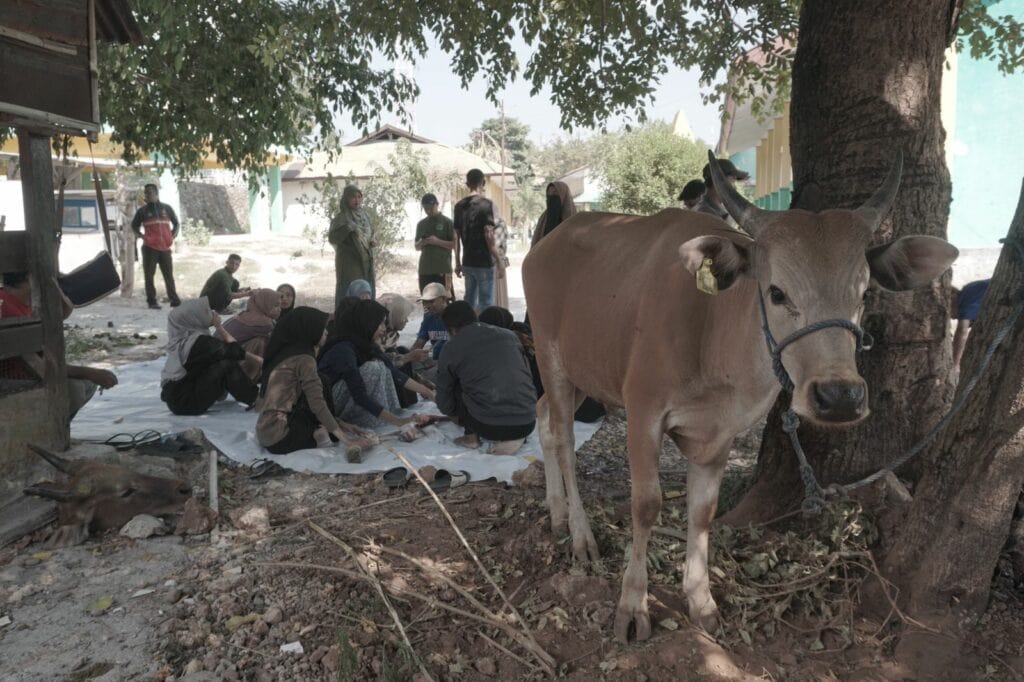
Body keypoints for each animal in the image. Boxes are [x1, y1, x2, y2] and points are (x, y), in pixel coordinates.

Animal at [524, 151, 962, 638]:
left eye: (864, 293)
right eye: (776, 292)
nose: (839, 396)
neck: (712, 336)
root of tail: (549, 242)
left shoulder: (722, 433)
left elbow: (703, 511)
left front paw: (701, 601)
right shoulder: (643, 414)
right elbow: (646, 505)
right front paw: (633, 605)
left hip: (587, 375)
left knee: (544, 420)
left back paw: (556, 512)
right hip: (551, 358)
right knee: (564, 439)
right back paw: (580, 534)